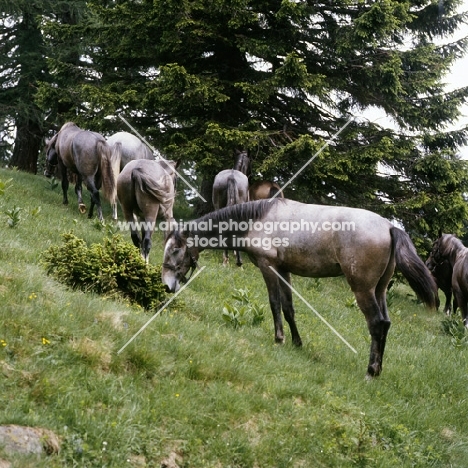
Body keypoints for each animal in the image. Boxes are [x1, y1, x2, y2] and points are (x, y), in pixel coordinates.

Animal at [162, 199, 438, 378]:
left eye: (175, 250)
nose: (166, 285)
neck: (259, 218)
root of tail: (390, 227)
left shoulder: (268, 267)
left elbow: (274, 304)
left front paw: (279, 338)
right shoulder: (284, 271)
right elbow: (288, 308)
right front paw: (296, 342)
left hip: (363, 290)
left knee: (377, 324)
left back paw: (371, 371)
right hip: (379, 290)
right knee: (386, 323)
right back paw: (378, 368)